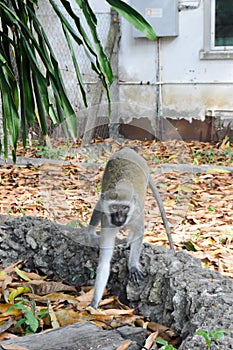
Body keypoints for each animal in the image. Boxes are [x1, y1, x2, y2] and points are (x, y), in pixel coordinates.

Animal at [88, 148, 175, 308]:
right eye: (114, 207)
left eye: (124, 208)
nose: (119, 218)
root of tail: (129, 150)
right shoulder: (107, 220)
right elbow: (104, 261)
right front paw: (95, 302)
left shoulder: (136, 213)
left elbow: (139, 232)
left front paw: (133, 265)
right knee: (99, 202)